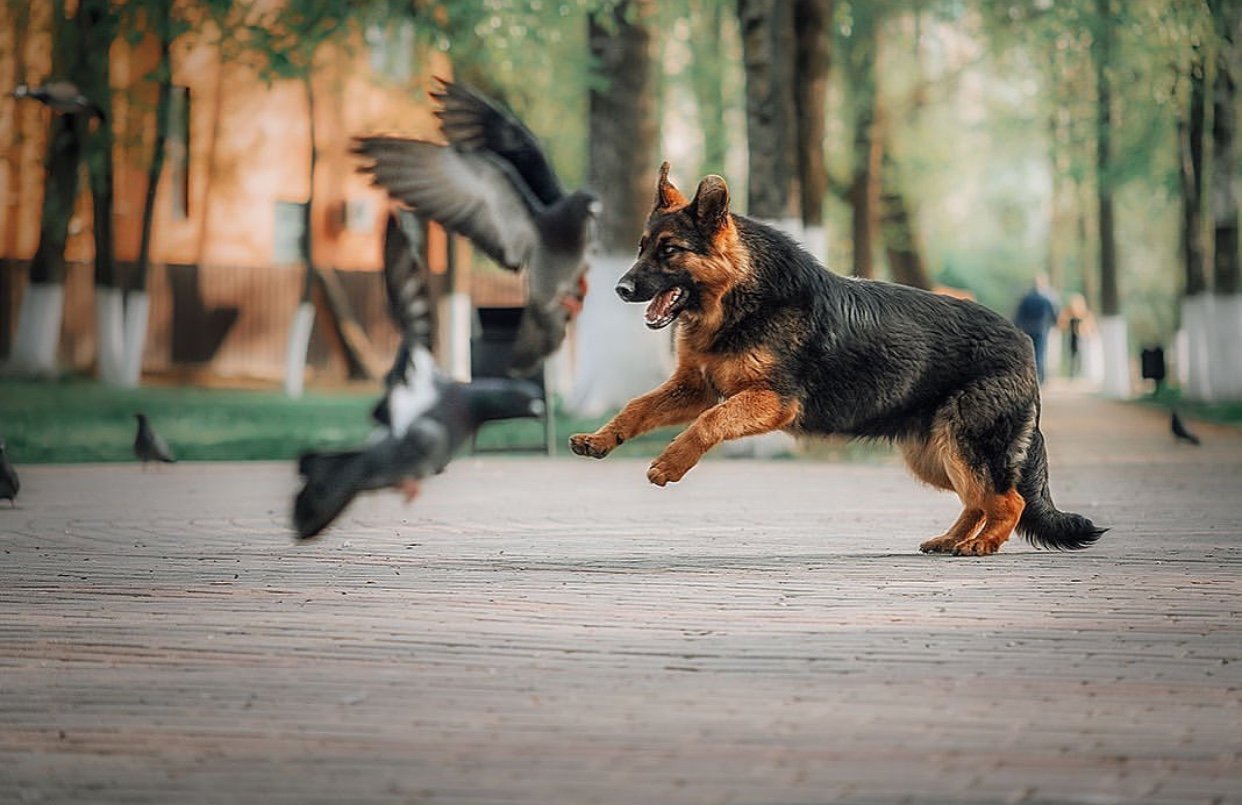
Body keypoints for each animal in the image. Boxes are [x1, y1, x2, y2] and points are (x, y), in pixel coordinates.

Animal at [568, 163, 1102, 554]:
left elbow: (709, 423)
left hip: (966, 446)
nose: (619, 289)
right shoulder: (696, 387)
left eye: (669, 251)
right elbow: (637, 408)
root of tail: (1024, 345)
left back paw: (982, 545)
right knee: (979, 500)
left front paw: (669, 463)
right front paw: (601, 438)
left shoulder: (769, 400)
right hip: (938, 456)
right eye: (641, 249)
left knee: (1008, 501)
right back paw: (952, 539)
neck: (741, 296)